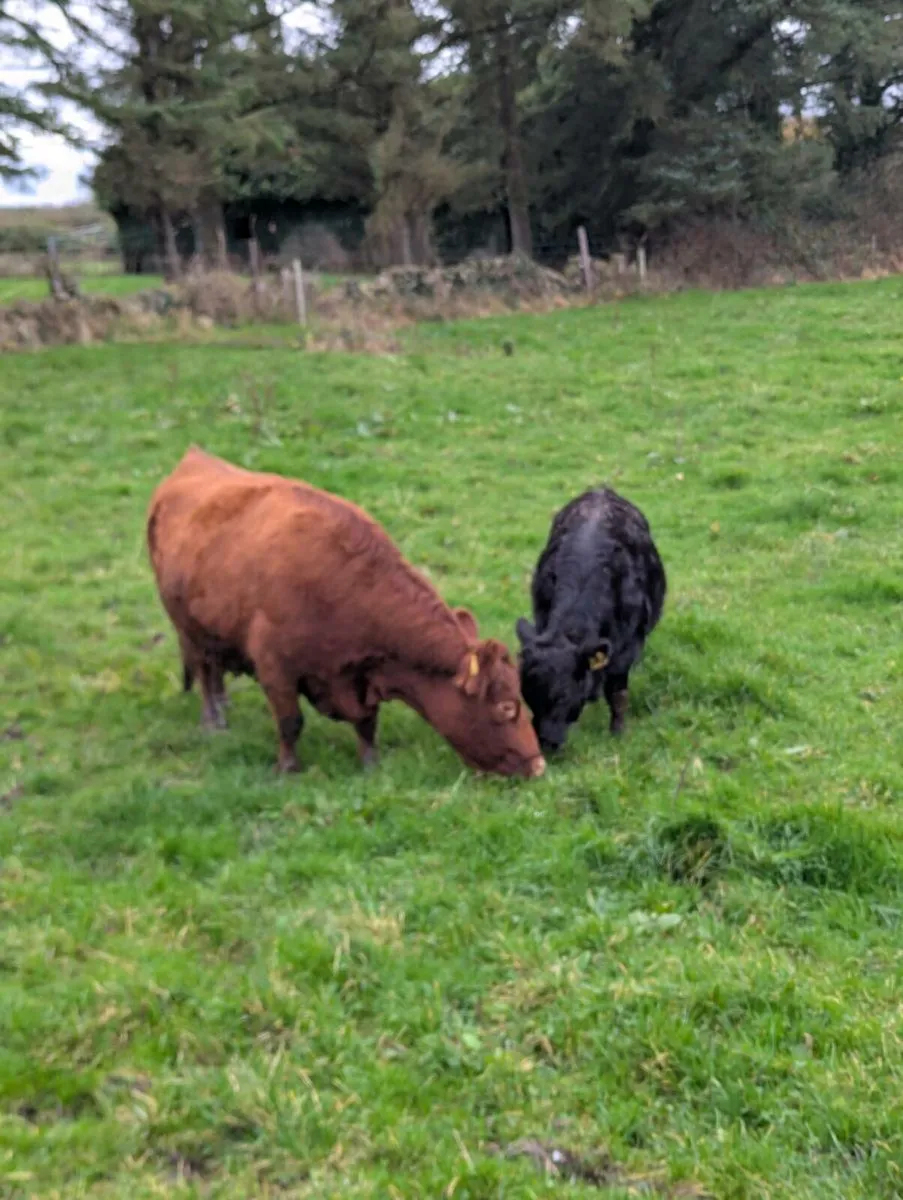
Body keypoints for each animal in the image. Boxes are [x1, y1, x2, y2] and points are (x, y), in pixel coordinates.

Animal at [147, 447, 545, 780]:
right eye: (506, 707)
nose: (538, 765)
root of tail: (194, 459)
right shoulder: (276, 668)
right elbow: (290, 721)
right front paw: (288, 768)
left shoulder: (362, 676)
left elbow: (367, 722)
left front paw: (370, 763)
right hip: (186, 626)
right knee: (204, 671)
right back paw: (213, 720)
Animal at [515, 487, 666, 753]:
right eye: (528, 695)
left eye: (563, 695)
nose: (546, 743)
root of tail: (601, 490)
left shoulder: (626, 650)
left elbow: (618, 695)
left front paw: (618, 733)